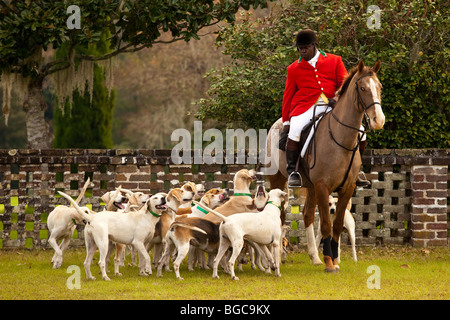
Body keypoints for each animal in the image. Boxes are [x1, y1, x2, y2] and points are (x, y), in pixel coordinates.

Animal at [266, 58, 384, 272]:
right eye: (362, 88)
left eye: (379, 87)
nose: (378, 120)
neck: (341, 139)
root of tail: (278, 123)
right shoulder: (323, 187)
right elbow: (327, 225)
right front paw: (330, 263)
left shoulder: (347, 188)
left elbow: (336, 224)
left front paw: (334, 259)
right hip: (277, 180)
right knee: (280, 216)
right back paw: (277, 258)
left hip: (311, 187)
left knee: (307, 215)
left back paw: (314, 257)